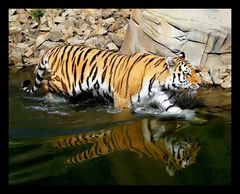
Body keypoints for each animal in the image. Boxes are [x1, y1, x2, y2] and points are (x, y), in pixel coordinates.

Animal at [22, 44, 202, 113]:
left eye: (195, 71)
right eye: (187, 73)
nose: (200, 83)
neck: (161, 83)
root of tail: (53, 48)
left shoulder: (165, 100)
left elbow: (177, 112)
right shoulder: (122, 101)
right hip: (67, 85)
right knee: (46, 83)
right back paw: (50, 98)